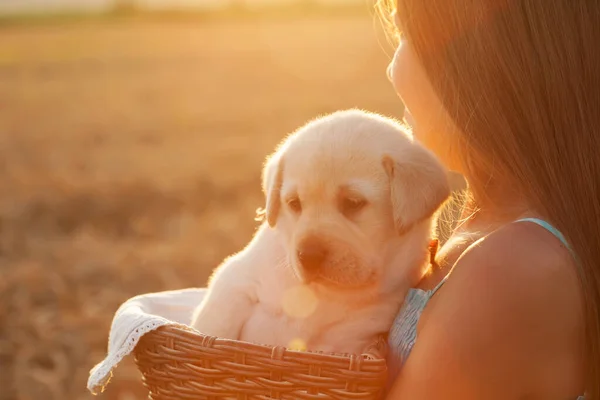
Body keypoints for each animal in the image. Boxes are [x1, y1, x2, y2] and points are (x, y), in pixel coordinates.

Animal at [190, 108, 448, 354]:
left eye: (353, 203)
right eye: (294, 203)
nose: (308, 256)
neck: (323, 294)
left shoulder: (353, 336)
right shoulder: (237, 279)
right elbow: (216, 323)